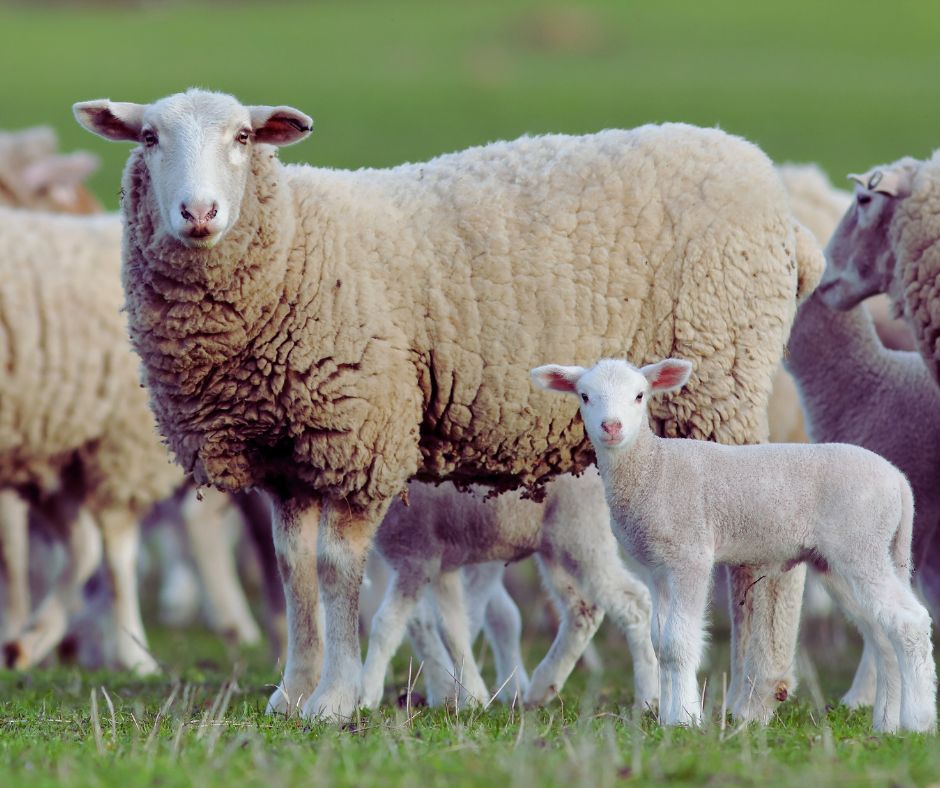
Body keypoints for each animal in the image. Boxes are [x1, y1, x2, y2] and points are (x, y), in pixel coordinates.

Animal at [360, 471, 658, 710]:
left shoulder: (418, 557)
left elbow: (387, 625)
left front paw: (367, 696)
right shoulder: (442, 566)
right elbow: (452, 627)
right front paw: (468, 696)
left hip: (582, 534)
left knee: (634, 602)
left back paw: (648, 697)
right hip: (556, 547)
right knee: (583, 608)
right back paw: (542, 686)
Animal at [532, 357, 937, 732]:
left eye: (639, 395)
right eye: (585, 396)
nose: (611, 427)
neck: (653, 467)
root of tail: (898, 480)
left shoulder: (690, 554)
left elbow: (679, 642)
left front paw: (685, 719)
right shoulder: (656, 568)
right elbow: (660, 642)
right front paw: (667, 717)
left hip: (860, 545)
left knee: (910, 622)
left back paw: (918, 721)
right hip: (844, 558)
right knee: (882, 633)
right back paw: (886, 723)